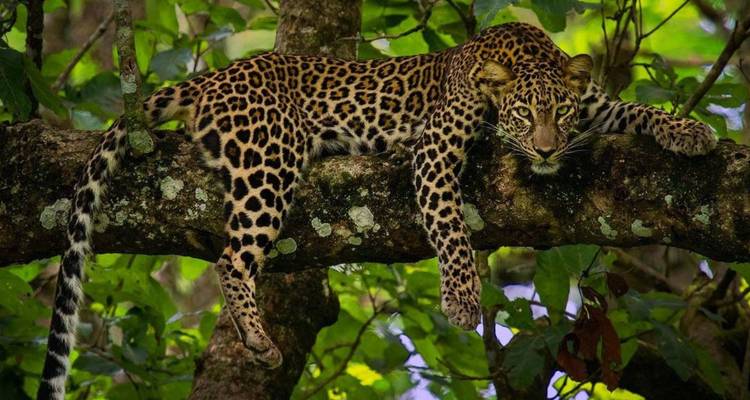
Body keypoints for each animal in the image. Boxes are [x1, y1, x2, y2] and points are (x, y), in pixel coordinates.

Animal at [37, 21, 716, 399]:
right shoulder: (436, 149)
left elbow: (637, 111)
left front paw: (692, 132)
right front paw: (463, 303)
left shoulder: (599, 105)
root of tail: (216, 76)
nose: (548, 150)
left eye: (562, 114)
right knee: (233, 256)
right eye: (525, 116)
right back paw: (257, 337)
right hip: (270, 158)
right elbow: (450, 229)